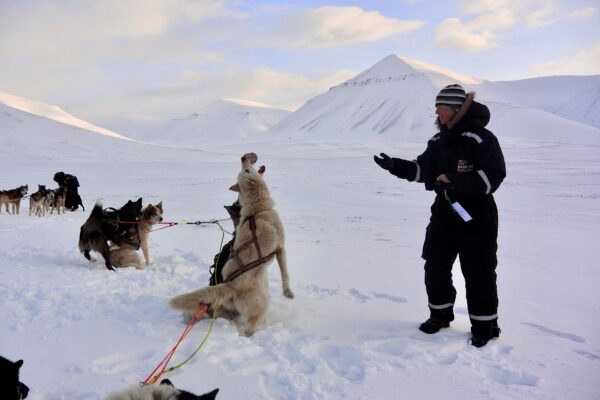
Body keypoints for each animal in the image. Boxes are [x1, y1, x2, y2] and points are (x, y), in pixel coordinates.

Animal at [170, 152, 294, 334]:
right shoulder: (281, 248)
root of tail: (230, 286)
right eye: (246, 170)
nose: (243, 157)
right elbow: (285, 273)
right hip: (261, 306)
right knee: (249, 328)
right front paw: (288, 293)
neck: (257, 209)